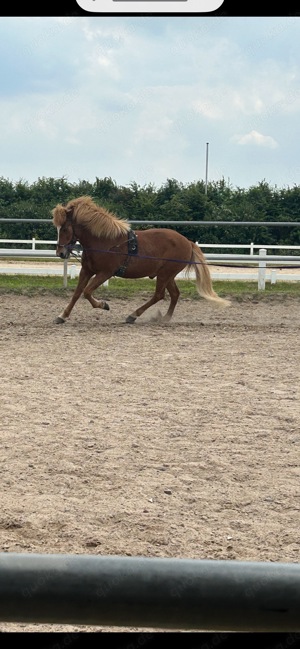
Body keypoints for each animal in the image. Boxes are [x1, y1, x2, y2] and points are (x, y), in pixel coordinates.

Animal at [52, 194, 230, 322]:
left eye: (65, 228)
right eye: (58, 228)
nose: (60, 253)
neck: (105, 241)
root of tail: (187, 242)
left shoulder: (105, 273)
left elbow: (87, 292)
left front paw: (103, 305)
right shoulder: (86, 270)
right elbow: (77, 293)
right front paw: (62, 316)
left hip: (165, 273)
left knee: (159, 295)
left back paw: (133, 315)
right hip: (167, 275)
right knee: (174, 294)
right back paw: (165, 318)